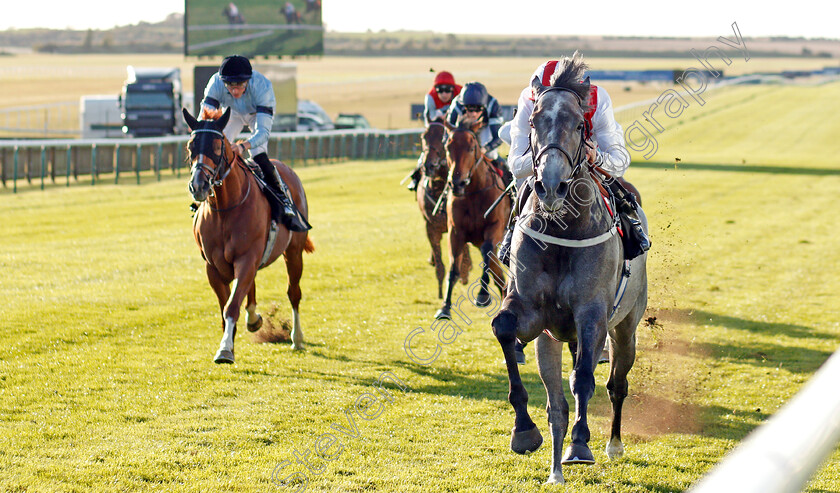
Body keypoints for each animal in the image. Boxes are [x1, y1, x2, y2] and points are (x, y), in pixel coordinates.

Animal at [184, 105, 316, 364]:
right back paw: (254, 319)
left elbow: (232, 305)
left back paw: (296, 338)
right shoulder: (213, 266)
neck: (225, 209)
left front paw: (225, 350)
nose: (199, 186)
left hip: (293, 251)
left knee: (293, 293)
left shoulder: (247, 258)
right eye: (190, 146)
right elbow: (226, 306)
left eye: (217, 146)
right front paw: (231, 340)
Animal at [416, 121, 470, 298]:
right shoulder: (431, 227)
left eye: (443, 139)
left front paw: (465, 271)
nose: (429, 165)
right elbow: (440, 262)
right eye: (423, 136)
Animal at [436, 119, 508, 320]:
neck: (475, 192)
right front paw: (445, 307)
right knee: (500, 277)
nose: (457, 183)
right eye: (448, 147)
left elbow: (487, 252)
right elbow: (454, 266)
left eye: (471, 148)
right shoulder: (456, 231)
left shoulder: (495, 226)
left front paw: (482, 295)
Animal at [492, 58, 648, 484]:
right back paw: (555, 468)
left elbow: (584, 378)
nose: (551, 185)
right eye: (533, 121)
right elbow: (504, 328)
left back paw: (611, 444)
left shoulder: (592, 312)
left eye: (580, 124)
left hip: (627, 325)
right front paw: (523, 431)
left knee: (616, 383)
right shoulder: (532, 312)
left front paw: (581, 444)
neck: (562, 231)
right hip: (553, 339)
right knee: (557, 403)